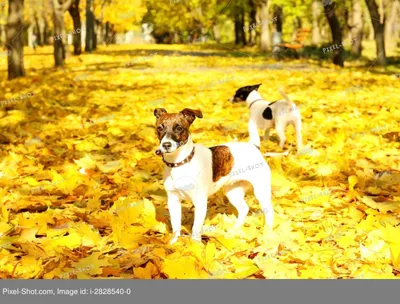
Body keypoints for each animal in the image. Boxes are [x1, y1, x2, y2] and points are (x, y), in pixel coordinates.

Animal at [154, 108, 276, 243]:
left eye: (179, 128)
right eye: (160, 128)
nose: (166, 144)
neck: (180, 163)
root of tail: (253, 146)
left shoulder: (200, 202)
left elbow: (196, 228)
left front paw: (195, 245)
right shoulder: (173, 201)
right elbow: (176, 226)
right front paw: (174, 243)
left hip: (261, 191)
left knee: (269, 211)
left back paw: (267, 233)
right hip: (233, 192)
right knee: (244, 208)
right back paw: (235, 230)